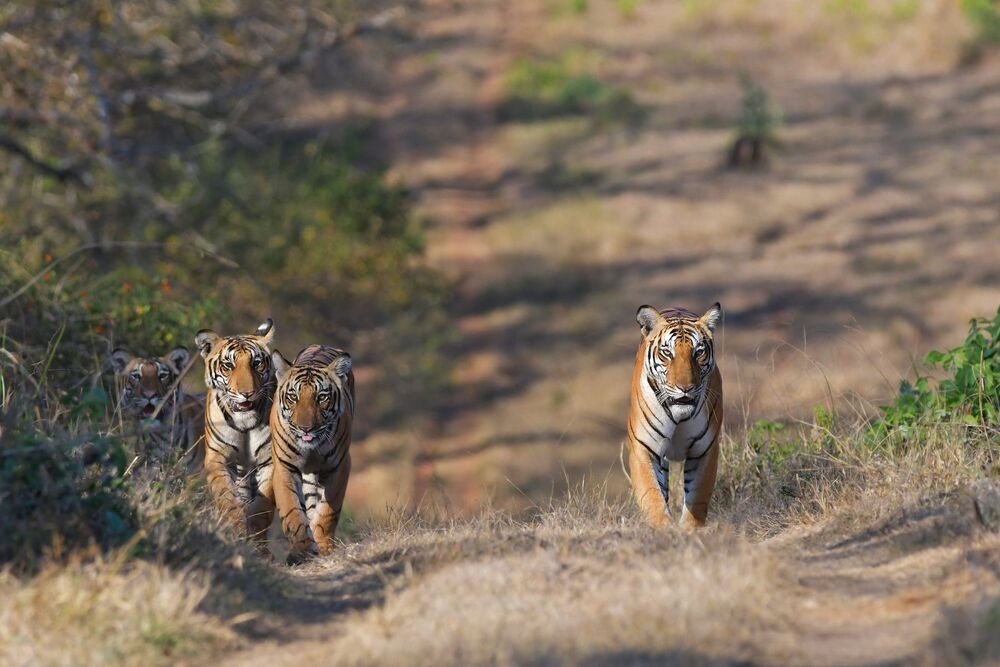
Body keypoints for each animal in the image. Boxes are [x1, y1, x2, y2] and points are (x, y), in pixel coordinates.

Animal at [194, 319, 277, 544]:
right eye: (228, 366)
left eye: (256, 363)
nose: (247, 393)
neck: (245, 423)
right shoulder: (217, 457)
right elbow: (225, 494)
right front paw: (237, 526)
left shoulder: (269, 461)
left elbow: (262, 507)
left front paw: (255, 536)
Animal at [269, 344, 354, 566]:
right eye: (293, 397)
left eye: (321, 397)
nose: (305, 429)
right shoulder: (284, 467)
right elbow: (292, 510)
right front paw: (302, 550)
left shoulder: (340, 465)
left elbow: (328, 511)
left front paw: (322, 545)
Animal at [626, 303, 723, 529]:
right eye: (667, 353)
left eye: (698, 352)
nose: (685, 388)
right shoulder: (643, 447)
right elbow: (652, 495)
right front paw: (664, 530)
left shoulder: (704, 450)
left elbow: (697, 498)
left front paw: (689, 531)